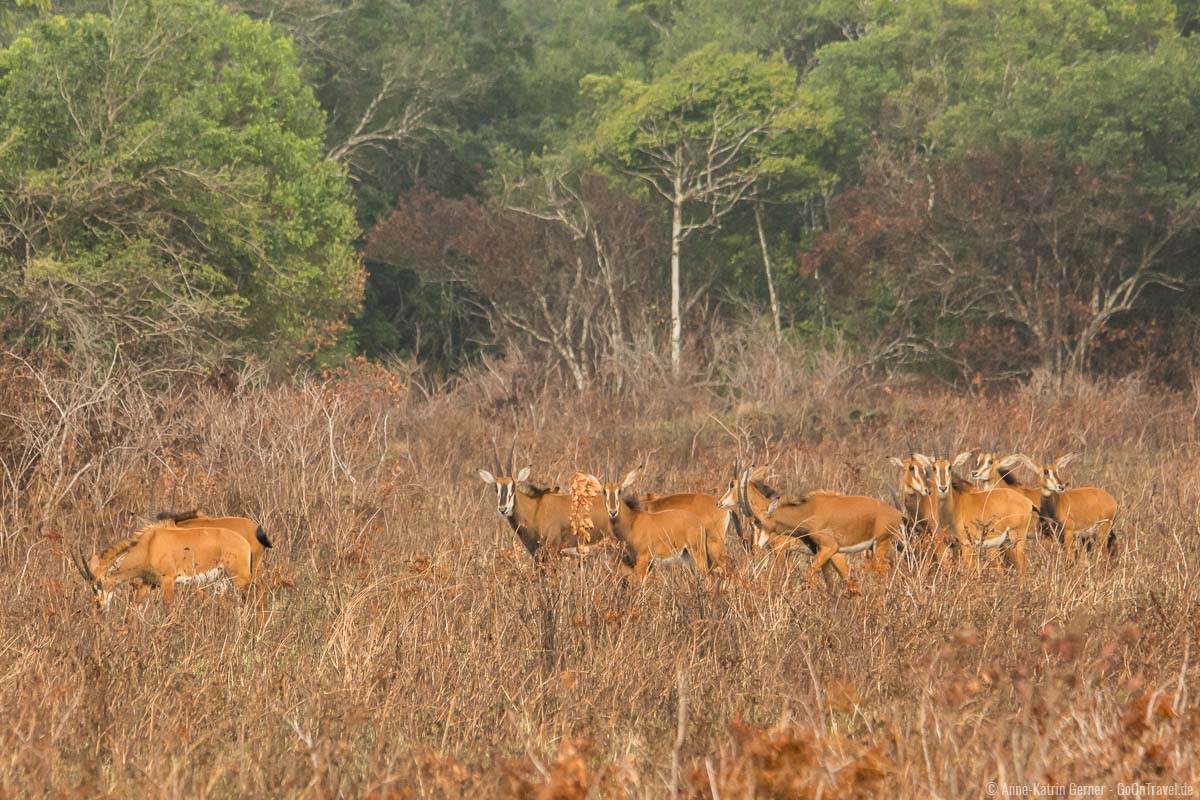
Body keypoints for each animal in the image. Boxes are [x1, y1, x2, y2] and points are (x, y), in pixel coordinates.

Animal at [72, 522, 255, 609]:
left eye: (99, 583)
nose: (100, 607)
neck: (149, 544)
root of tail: (244, 542)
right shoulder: (149, 583)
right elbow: (134, 607)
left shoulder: (168, 581)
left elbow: (168, 608)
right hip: (223, 579)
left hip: (240, 577)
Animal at [475, 438, 609, 563]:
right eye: (495, 487)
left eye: (513, 486)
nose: (503, 509)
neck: (535, 509)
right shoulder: (536, 554)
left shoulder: (552, 551)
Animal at [583, 462, 720, 582]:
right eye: (604, 491)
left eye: (620, 490)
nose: (612, 511)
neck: (632, 521)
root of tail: (699, 522)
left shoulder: (643, 558)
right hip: (686, 556)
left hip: (698, 552)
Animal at [710, 462, 902, 594]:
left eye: (732, 484)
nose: (719, 503)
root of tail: (897, 513)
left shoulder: (784, 550)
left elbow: (784, 577)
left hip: (877, 546)